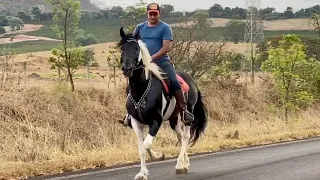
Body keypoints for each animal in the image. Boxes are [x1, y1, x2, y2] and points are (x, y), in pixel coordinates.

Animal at [117, 27, 208, 180]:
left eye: (136, 49)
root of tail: (191, 80)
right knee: (180, 136)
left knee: (185, 136)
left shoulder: (156, 121)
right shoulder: (136, 122)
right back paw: (186, 163)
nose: (127, 69)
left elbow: (147, 144)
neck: (142, 90)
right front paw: (142, 173)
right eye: (122, 49)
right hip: (173, 118)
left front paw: (158, 156)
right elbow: (141, 149)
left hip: (187, 115)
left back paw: (180, 166)